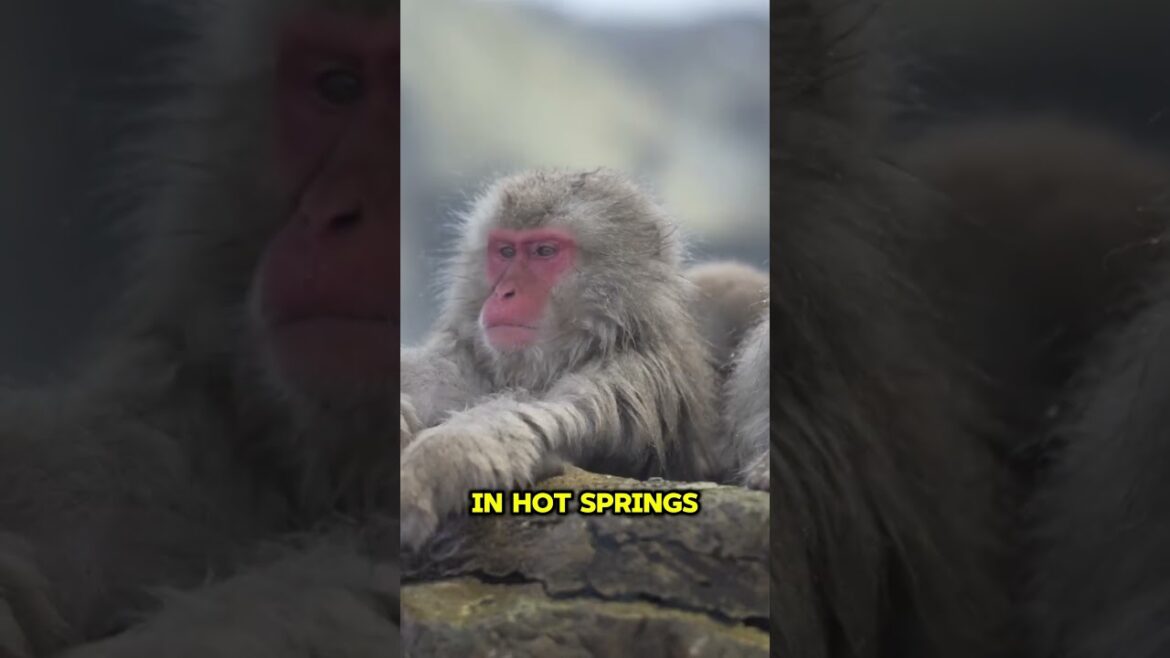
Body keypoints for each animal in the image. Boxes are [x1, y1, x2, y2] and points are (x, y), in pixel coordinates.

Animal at [398, 167, 726, 551]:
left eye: (544, 251)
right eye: (505, 251)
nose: (504, 293)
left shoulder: (626, 376)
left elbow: (546, 420)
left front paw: (435, 461)